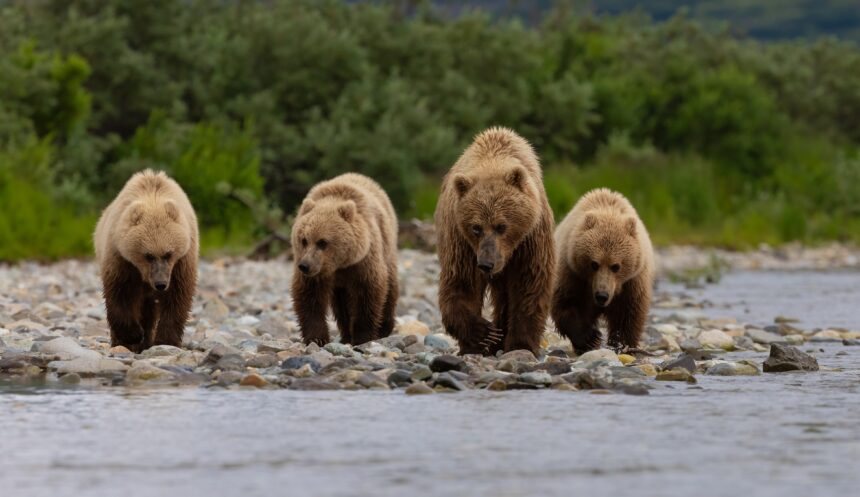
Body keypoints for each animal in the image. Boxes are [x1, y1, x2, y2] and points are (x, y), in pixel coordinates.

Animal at [94, 170, 199, 353]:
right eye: (148, 255)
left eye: (168, 254)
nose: (160, 284)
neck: (152, 197)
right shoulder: (121, 259)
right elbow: (120, 293)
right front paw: (132, 335)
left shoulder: (182, 261)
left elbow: (178, 296)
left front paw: (166, 340)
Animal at [290, 173, 399, 346]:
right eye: (304, 240)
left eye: (322, 242)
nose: (304, 265)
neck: (339, 264)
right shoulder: (317, 273)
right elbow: (310, 296)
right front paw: (316, 338)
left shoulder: (364, 261)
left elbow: (367, 293)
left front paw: (362, 337)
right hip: (340, 285)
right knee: (341, 304)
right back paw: (346, 334)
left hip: (388, 249)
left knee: (390, 287)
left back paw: (384, 328)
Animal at [435, 127, 556, 356]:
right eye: (476, 228)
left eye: (501, 226)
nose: (486, 264)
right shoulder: (462, 241)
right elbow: (462, 283)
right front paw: (481, 336)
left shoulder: (530, 239)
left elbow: (529, 284)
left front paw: (520, 344)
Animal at [551, 188, 654, 353]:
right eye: (594, 264)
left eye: (616, 266)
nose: (602, 296)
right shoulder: (571, 272)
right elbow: (565, 303)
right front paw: (590, 338)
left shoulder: (632, 282)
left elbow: (628, 314)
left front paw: (621, 344)